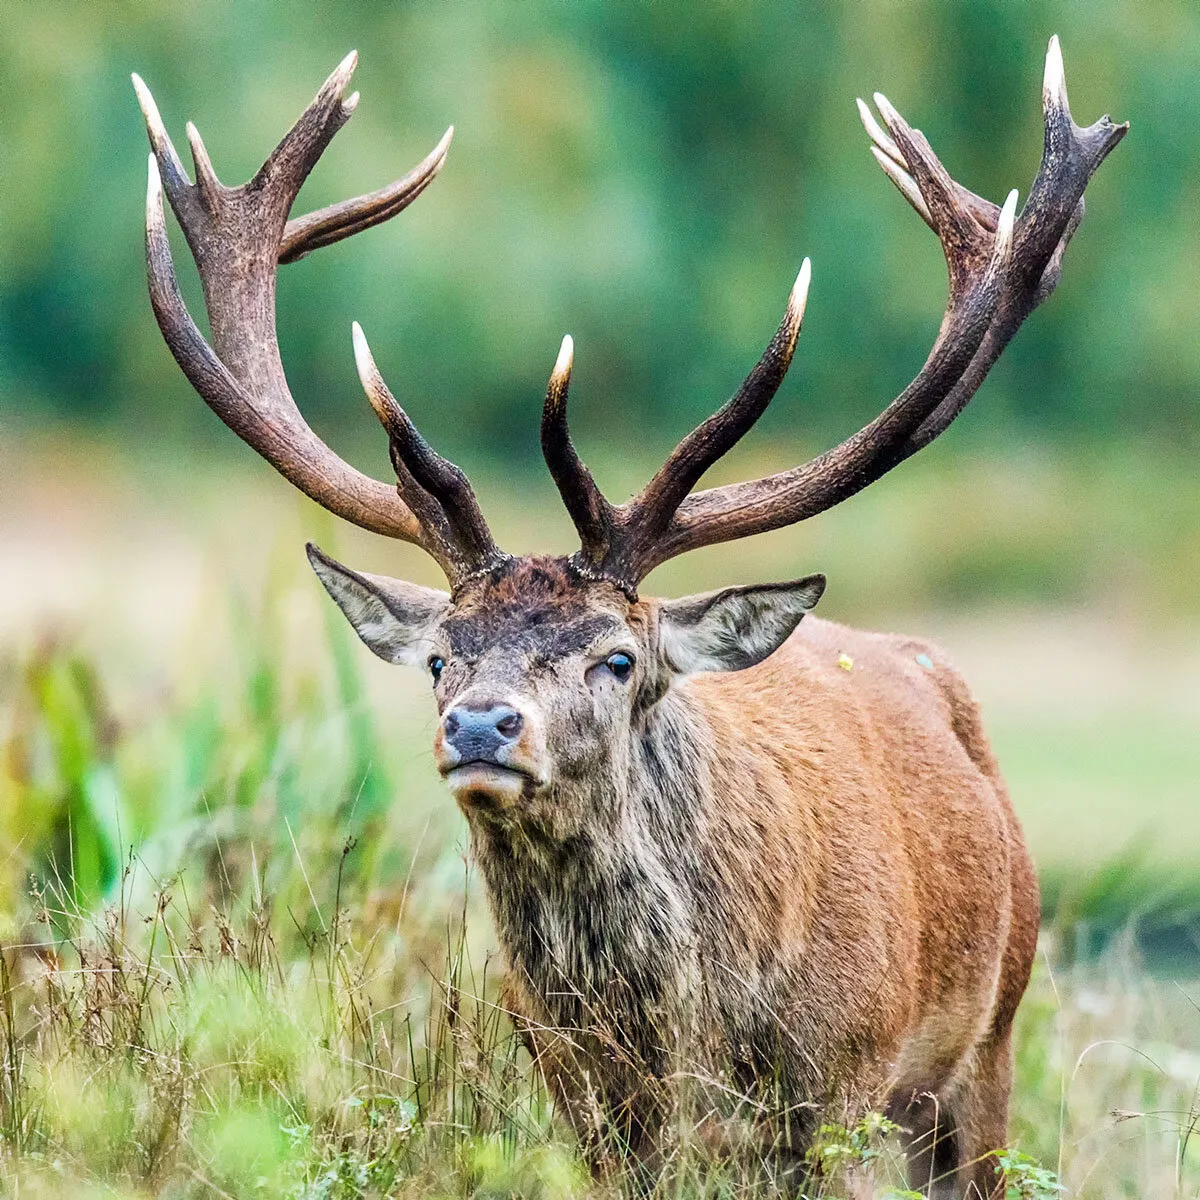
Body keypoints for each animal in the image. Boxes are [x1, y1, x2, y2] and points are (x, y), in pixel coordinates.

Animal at [133, 39, 1125, 1198]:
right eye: (439, 659)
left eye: (615, 658)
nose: (481, 725)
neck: (683, 1039)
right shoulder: (583, 1101)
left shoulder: (838, 1090)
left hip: (990, 1041)